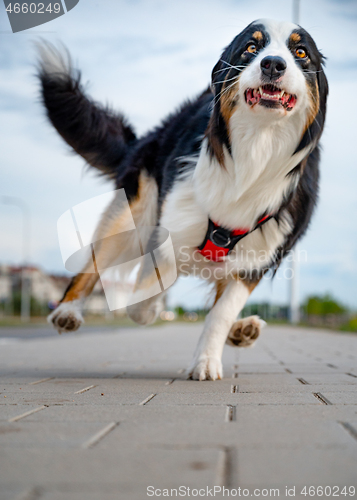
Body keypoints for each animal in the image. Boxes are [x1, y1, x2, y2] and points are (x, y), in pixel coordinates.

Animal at [37, 18, 326, 378]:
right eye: (251, 47)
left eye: (301, 52)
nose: (273, 64)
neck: (257, 148)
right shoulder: (168, 227)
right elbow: (143, 299)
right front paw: (154, 305)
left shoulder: (255, 258)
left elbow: (220, 313)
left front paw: (207, 360)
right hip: (136, 211)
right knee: (96, 262)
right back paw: (68, 310)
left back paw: (241, 329)